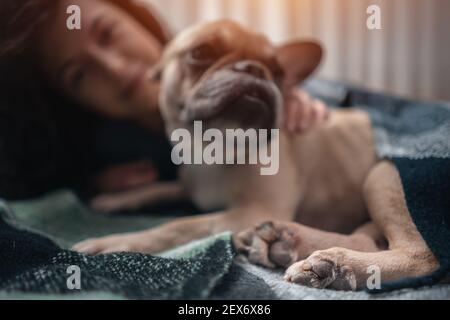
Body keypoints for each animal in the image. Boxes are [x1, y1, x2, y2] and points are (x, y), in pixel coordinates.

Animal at [74, 19, 440, 290]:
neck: (212, 148)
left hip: (382, 175)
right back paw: (293, 243)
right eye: (200, 52)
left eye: (278, 71)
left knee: (420, 256)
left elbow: (179, 225)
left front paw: (117, 241)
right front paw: (117, 198)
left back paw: (336, 265)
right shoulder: (193, 185)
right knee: (369, 239)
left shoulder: (250, 210)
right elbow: (163, 188)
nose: (255, 69)